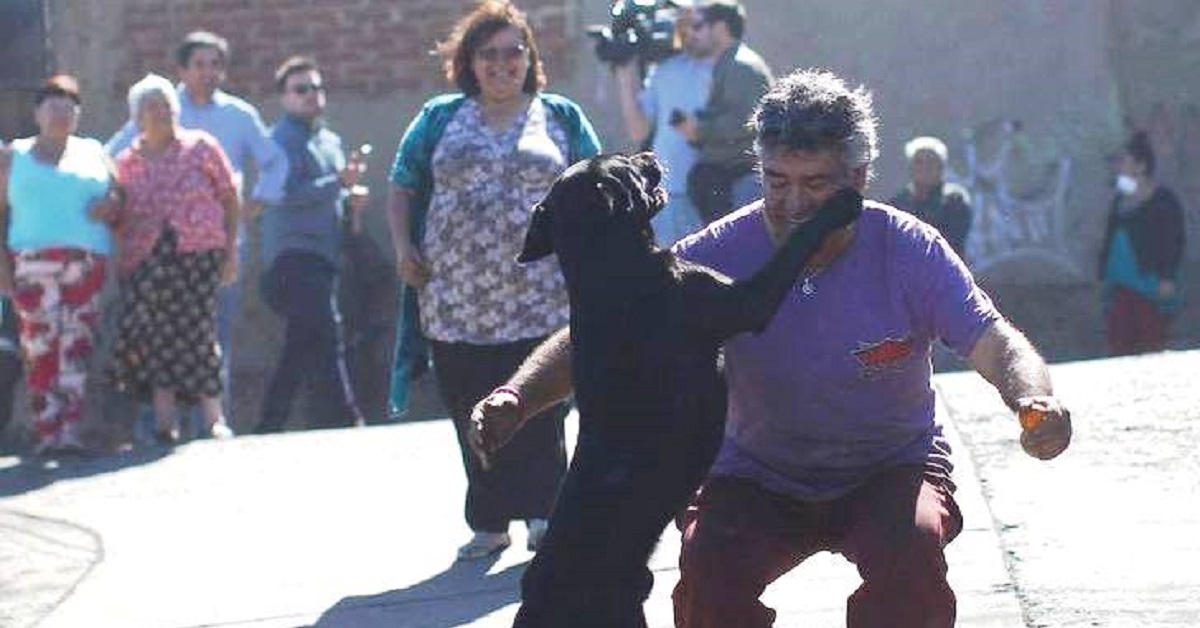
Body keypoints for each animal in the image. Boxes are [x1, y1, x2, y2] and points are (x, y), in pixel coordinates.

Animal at [501, 153, 859, 628]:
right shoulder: (745, 300)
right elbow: (796, 244)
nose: (649, 155)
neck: (605, 268)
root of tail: (535, 601)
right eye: (624, 164)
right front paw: (840, 206)